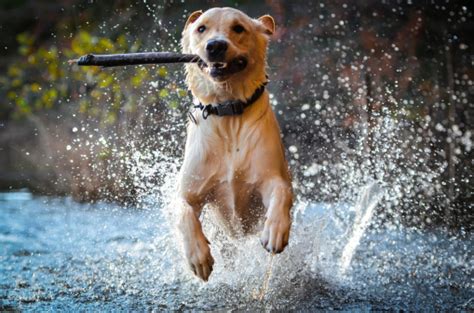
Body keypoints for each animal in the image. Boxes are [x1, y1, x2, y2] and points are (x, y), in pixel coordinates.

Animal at [177, 6, 292, 280]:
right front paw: (198, 256)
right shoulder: (189, 191)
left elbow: (282, 192)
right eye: (201, 28)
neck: (228, 113)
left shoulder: (271, 177)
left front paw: (275, 231)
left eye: (238, 28)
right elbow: (183, 212)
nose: (215, 46)